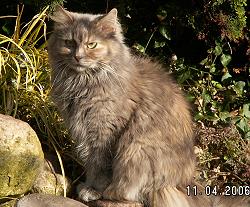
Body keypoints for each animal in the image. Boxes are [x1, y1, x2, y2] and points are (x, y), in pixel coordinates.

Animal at [47, 5, 249, 206]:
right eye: (69, 42)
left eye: (92, 45)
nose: (78, 56)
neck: (82, 82)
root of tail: (185, 183)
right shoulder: (83, 131)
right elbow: (90, 163)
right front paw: (88, 186)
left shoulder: (104, 132)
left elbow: (99, 166)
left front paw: (93, 190)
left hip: (137, 149)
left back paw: (112, 192)